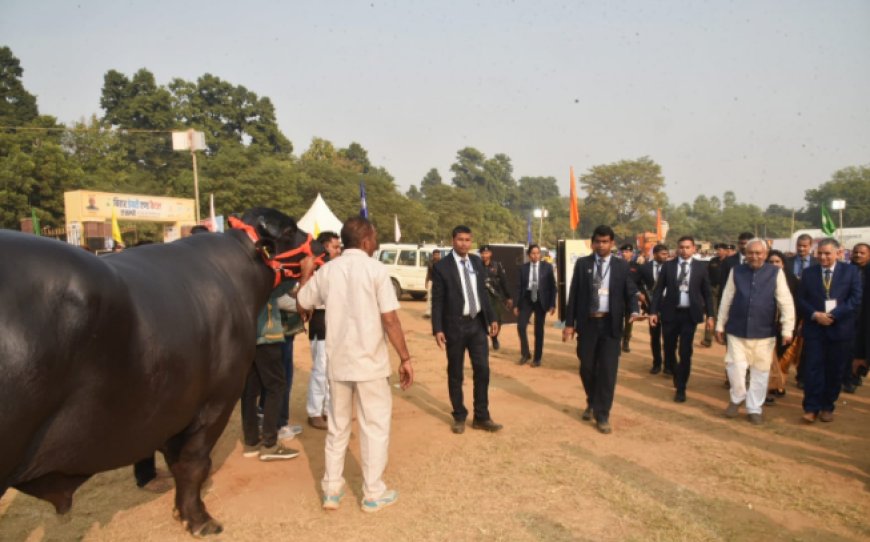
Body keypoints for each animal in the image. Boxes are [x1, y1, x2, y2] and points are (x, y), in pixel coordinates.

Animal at [0, 207, 324, 536]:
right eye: (289, 231)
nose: (319, 247)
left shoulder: (173, 410)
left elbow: (177, 462)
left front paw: (182, 510)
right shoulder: (215, 403)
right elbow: (194, 464)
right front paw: (199, 519)